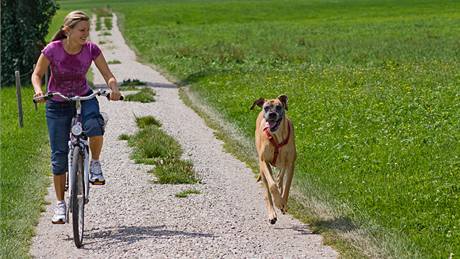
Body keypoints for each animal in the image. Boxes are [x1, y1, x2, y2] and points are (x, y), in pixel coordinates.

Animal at [250, 94, 296, 224]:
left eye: (279, 107)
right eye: (266, 108)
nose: (272, 114)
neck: (278, 137)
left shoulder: (291, 163)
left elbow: (287, 186)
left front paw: (283, 203)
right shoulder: (264, 162)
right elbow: (272, 186)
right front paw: (278, 202)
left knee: (280, 177)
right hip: (262, 167)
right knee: (267, 190)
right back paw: (272, 213)